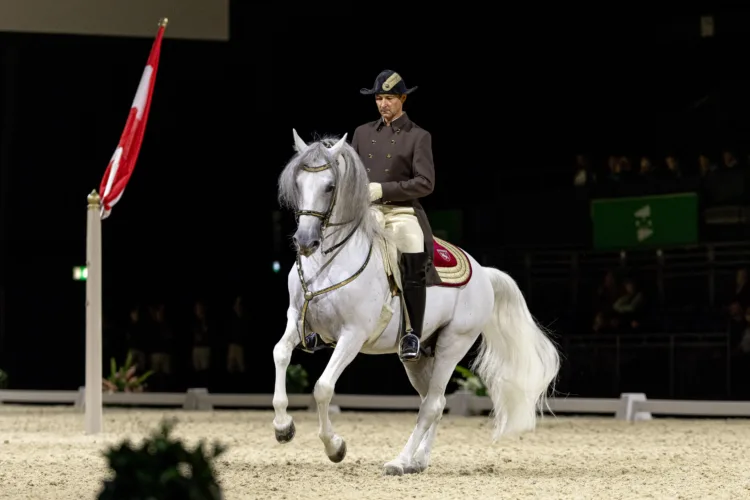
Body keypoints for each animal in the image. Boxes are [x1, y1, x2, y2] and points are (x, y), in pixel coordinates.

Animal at [274, 128, 560, 472]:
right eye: (299, 182)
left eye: (330, 186)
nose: (305, 242)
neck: (329, 262)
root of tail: (483, 272)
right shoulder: (296, 319)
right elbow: (280, 354)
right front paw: (283, 427)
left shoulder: (352, 335)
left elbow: (323, 387)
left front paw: (335, 447)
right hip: (420, 354)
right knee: (434, 402)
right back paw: (418, 460)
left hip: (453, 345)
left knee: (432, 403)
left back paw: (400, 461)